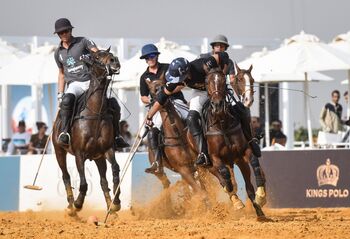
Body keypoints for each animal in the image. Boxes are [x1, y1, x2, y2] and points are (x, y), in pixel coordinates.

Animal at [52, 47, 121, 216]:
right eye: (96, 57)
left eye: (110, 54)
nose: (115, 61)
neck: (95, 112)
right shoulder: (79, 154)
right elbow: (83, 182)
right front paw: (78, 204)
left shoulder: (108, 149)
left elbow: (115, 170)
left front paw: (116, 203)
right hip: (59, 151)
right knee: (66, 176)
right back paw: (71, 207)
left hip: (98, 157)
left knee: (103, 180)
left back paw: (111, 209)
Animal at [202, 67, 266, 220]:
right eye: (206, 81)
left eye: (223, 80)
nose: (217, 105)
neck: (222, 124)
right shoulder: (214, 158)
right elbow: (226, 177)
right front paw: (236, 201)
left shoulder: (244, 152)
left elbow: (255, 163)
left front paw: (261, 196)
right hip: (209, 166)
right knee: (224, 180)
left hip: (239, 161)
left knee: (248, 187)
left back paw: (259, 210)